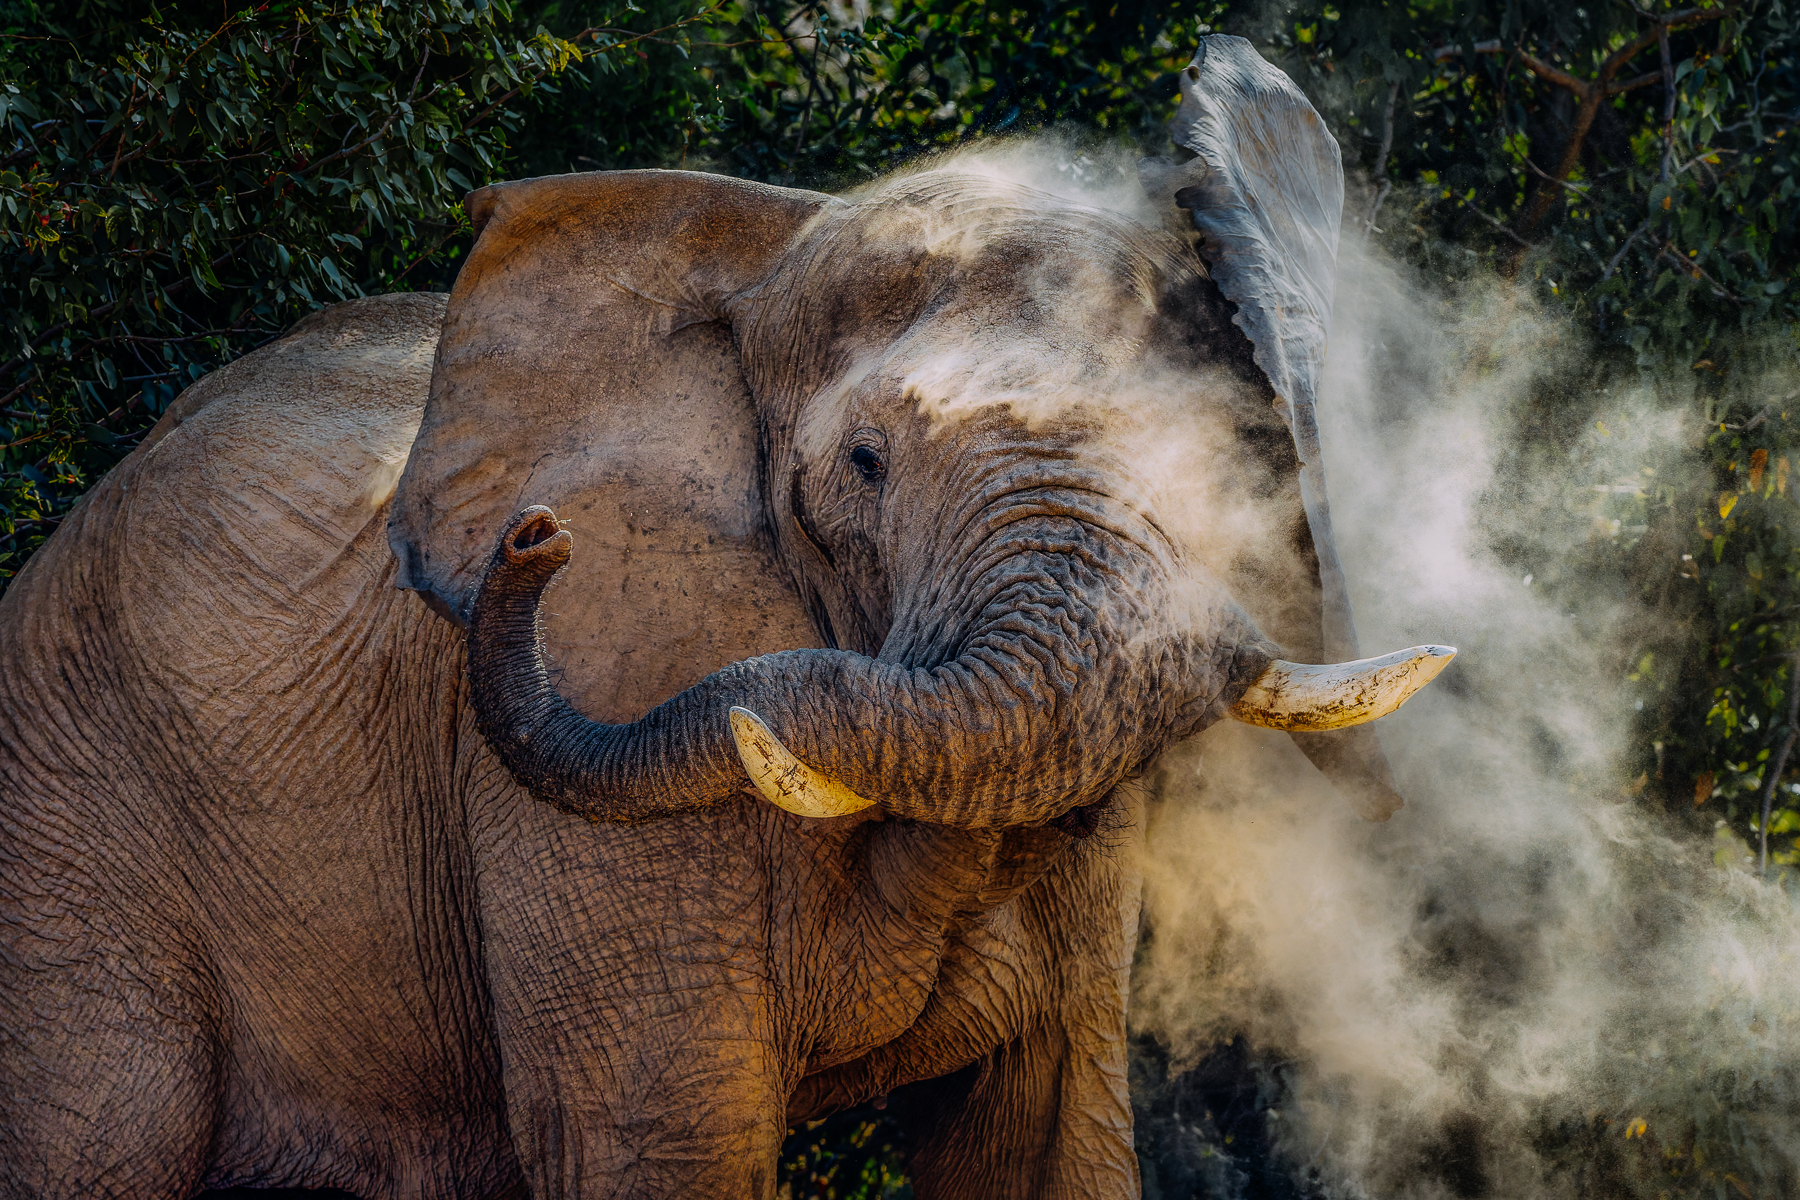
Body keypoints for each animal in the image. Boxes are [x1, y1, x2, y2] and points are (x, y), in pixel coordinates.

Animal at [0, 37, 1450, 1200]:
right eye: (861, 465)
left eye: (1231, 456)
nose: (535, 538)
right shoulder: (584, 726)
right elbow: (660, 1142)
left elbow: (1049, 1137)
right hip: (69, 819)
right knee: (94, 1142)